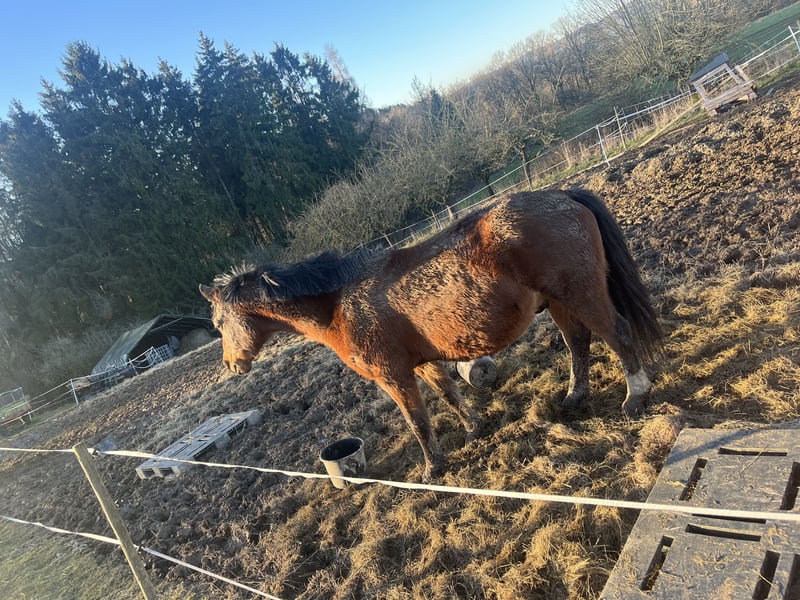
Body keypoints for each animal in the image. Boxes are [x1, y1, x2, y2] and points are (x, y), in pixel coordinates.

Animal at [200, 189, 663, 481]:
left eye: (219, 324)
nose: (232, 364)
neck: (339, 304)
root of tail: (564, 195)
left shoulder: (394, 377)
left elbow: (418, 422)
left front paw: (432, 468)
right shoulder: (422, 365)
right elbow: (449, 394)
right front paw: (475, 429)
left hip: (581, 294)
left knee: (618, 335)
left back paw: (634, 398)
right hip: (561, 303)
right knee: (578, 344)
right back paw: (573, 398)